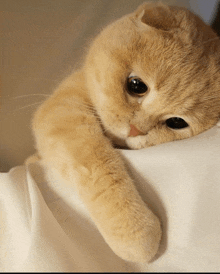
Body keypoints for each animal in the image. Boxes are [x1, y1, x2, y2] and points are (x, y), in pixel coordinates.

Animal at [31, 1, 220, 264]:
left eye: (176, 122)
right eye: (136, 85)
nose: (136, 130)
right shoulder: (62, 113)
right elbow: (99, 168)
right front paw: (135, 233)